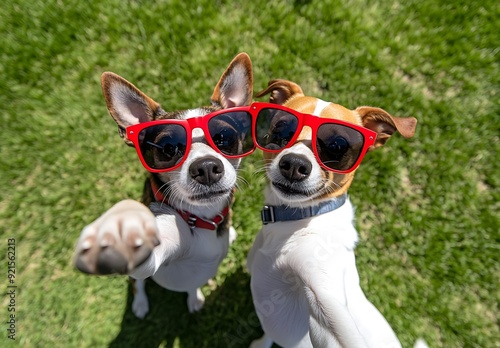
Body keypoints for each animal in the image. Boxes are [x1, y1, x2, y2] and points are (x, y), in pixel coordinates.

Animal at [73, 52, 254, 318]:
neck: (202, 219)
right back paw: (140, 304)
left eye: (224, 138)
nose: (206, 168)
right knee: (137, 284)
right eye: (169, 148)